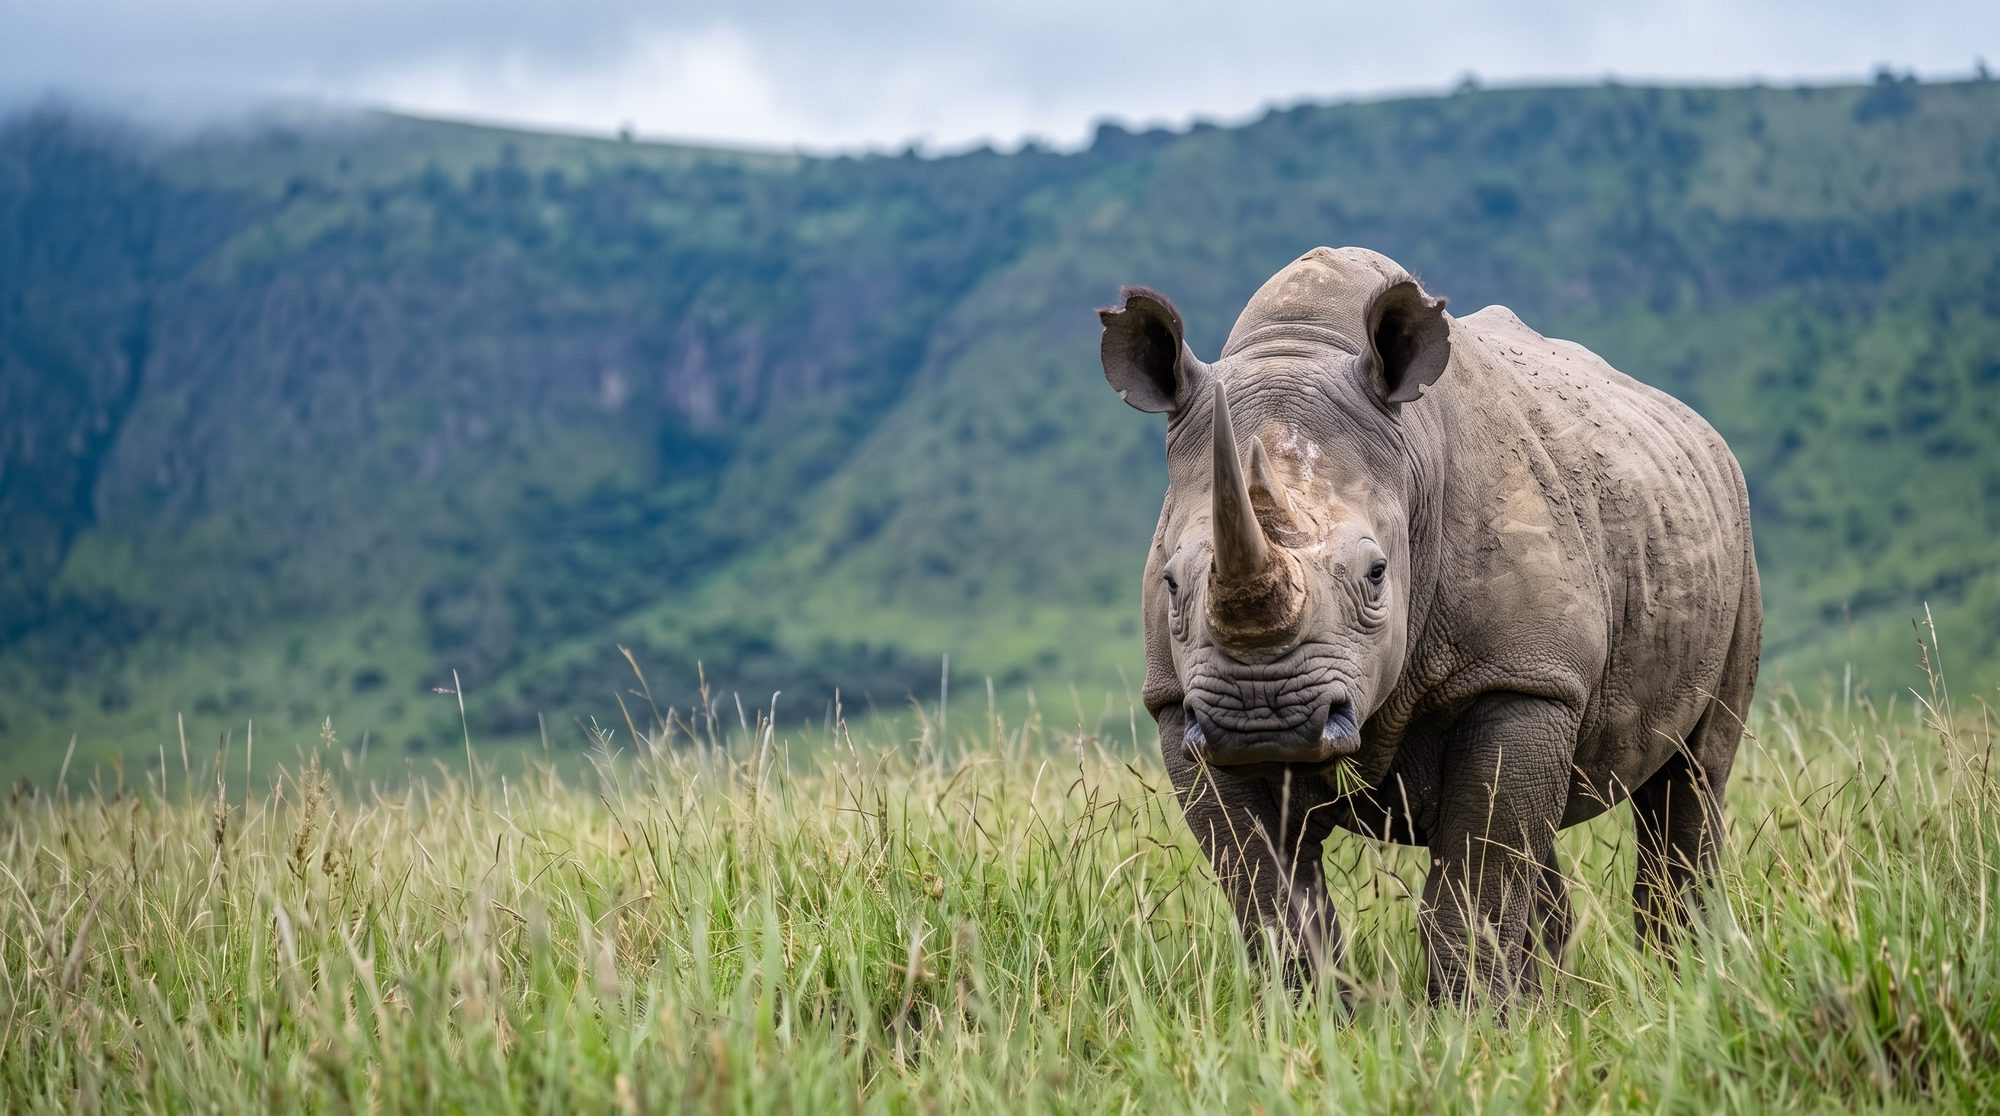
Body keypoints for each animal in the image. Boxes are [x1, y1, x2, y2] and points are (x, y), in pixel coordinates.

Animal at [1098, 247, 1760, 1007]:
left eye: (1377, 574)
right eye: (1173, 584)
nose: (1263, 717)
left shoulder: (1518, 674)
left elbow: (1475, 881)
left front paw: (1471, 1023)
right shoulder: (1180, 706)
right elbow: (1268, 896)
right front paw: (1306, 1020)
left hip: (1732, 533)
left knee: (1693, 776)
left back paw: (1682, 986)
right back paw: (1554, 1004)